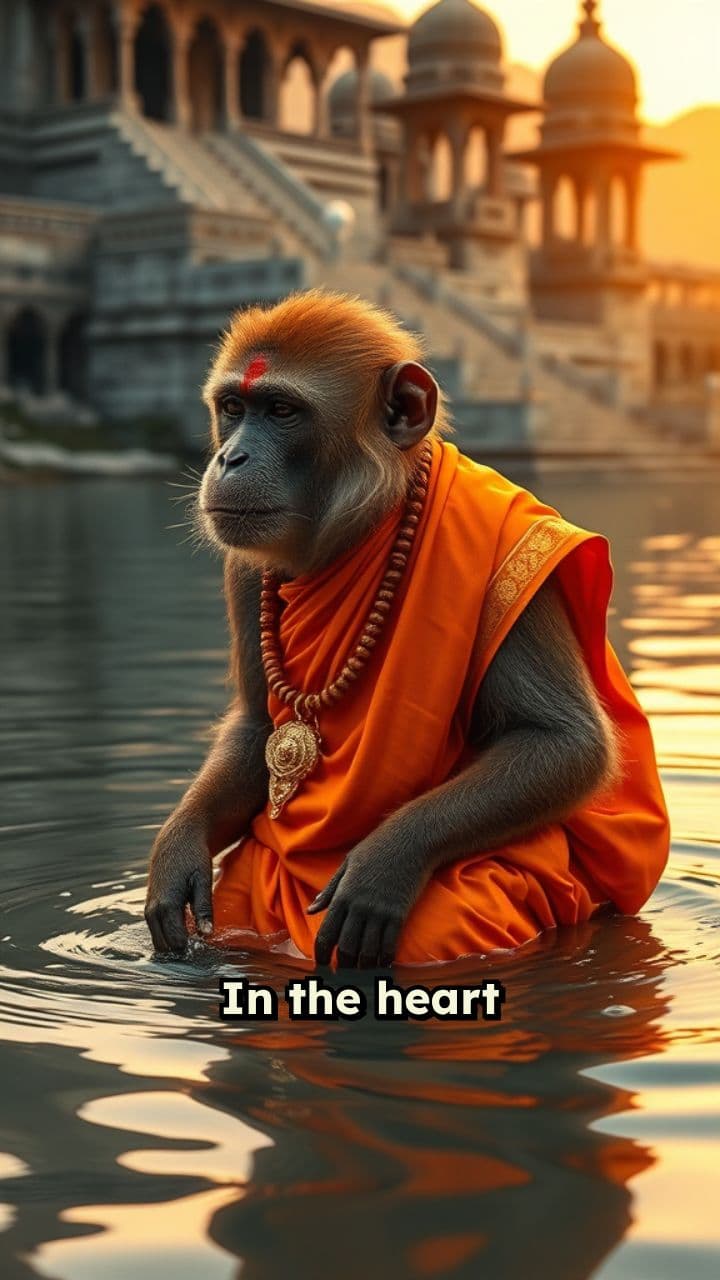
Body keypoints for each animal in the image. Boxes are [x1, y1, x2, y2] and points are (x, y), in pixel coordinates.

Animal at [143, 288, 659, 970]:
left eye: (280, 410)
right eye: (233, 408)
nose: (230, 458)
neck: (363, 526)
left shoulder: (520, 565)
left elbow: (563, 740)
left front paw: (382, 865)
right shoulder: (244, 563)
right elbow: (256, 723)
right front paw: (176, 853)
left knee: (448, 921)